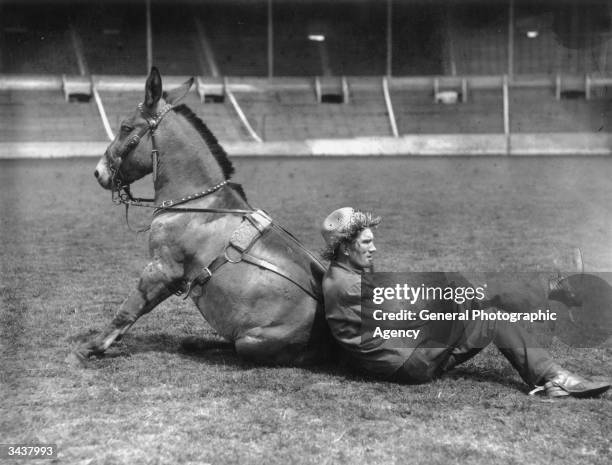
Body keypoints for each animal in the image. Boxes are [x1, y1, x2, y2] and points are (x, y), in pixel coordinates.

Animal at [68, 69, 334, 366]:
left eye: (126, 127)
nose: (99, 172)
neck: (196, 204)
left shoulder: (161, 270)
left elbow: (128, 309)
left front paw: (90, 348)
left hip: (251, 342)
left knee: (234, 347)